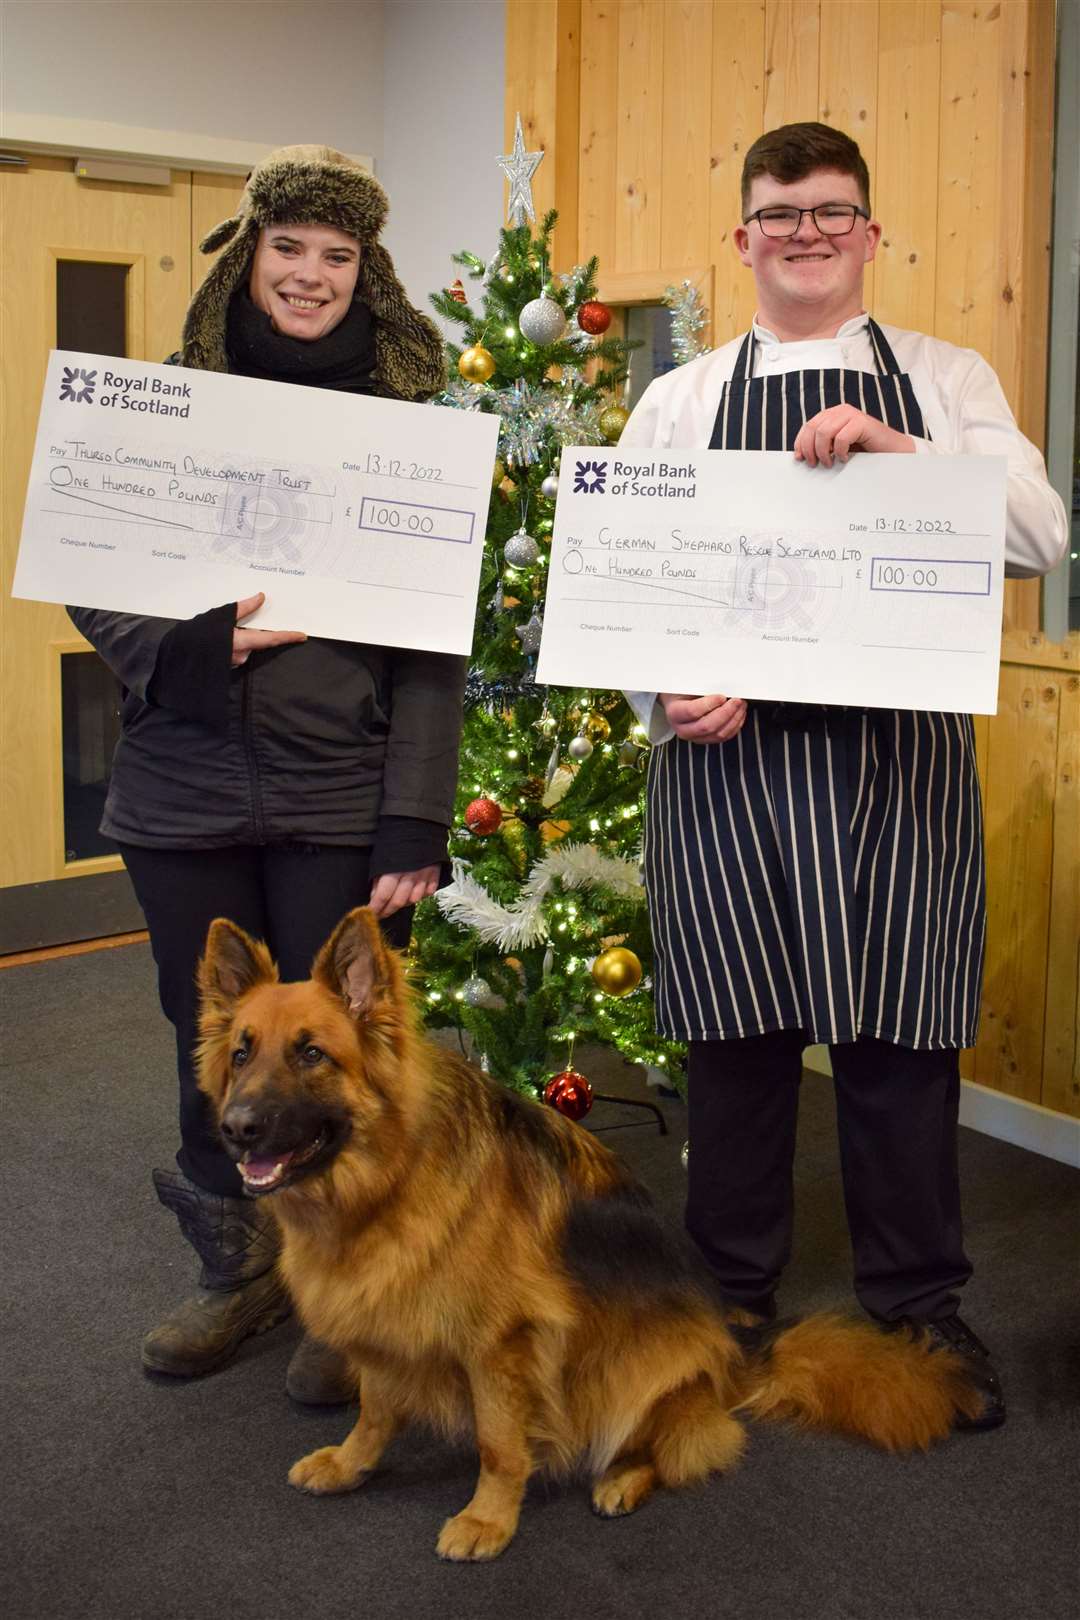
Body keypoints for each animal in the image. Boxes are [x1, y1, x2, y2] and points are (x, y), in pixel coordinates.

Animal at [196, 913, 990, 1555]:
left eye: (311, 1054)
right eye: (241, 1053)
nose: (234, 1131)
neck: (385, 1182)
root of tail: (737, 1356)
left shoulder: (501, 1346)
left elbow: (499, 1444)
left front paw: (489, 1519)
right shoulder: (386, 1324)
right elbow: (376, 1409)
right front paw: (350, 1462)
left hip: (630, 1375)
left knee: (682, 1445)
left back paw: (622, 1479)